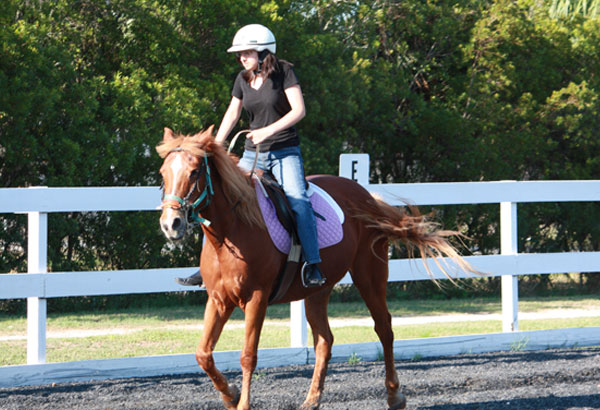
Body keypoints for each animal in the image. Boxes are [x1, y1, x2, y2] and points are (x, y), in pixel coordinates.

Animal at [156, 127, 476, 410]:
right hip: (317, 290)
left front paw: (242, 402)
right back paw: (312, 400)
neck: (232, 231)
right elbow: (203, 354)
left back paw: (394, 396)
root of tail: (367, 197)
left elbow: (248, 355)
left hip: (369, 276)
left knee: (384, 328)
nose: (171, 225)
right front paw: (231, 395)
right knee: (325, 340)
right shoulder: (219, 299)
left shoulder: (257, 298)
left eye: (194, 172)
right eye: (163, 173)